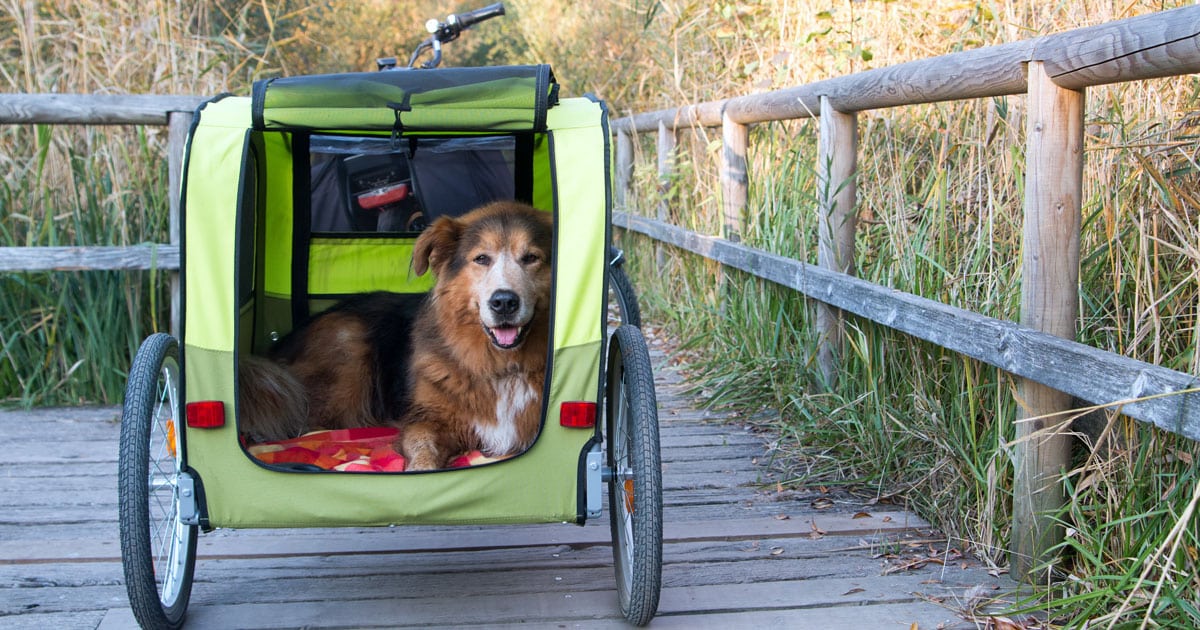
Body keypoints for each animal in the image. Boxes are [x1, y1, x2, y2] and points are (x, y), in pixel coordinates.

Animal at [240, 199, 556, 468]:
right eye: (481, 259)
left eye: (531, 258)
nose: (504, 302)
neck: (502, 366)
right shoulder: (426, 420)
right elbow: (423, 449)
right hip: (348, 346)